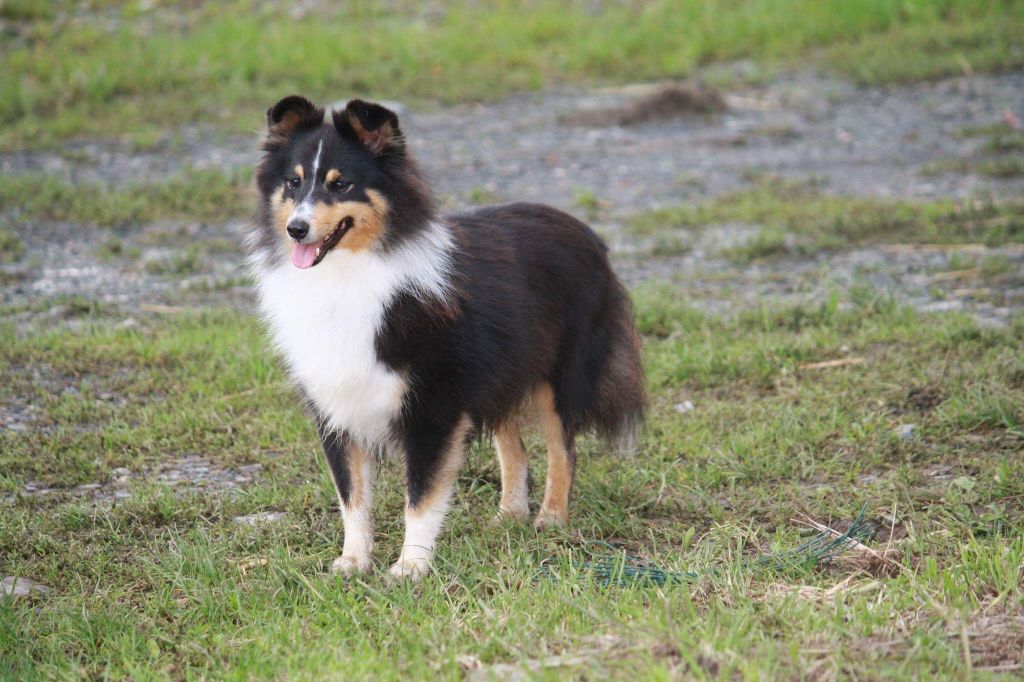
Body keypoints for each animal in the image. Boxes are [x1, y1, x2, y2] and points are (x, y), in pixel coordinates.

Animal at [247, 94, 643, 573]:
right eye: (293, 181)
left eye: (341, 186)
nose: (296, 229)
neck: (350, 273)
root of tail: (589, 234)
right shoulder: (335, 406)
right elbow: (352, 497)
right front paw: (353, 562)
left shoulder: (433, 407)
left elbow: (421, 497)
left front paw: (410, 568)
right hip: (498, 372)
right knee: (514, 447)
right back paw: (509, 516)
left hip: (561, 375)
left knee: (563, 448)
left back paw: (551, 519)